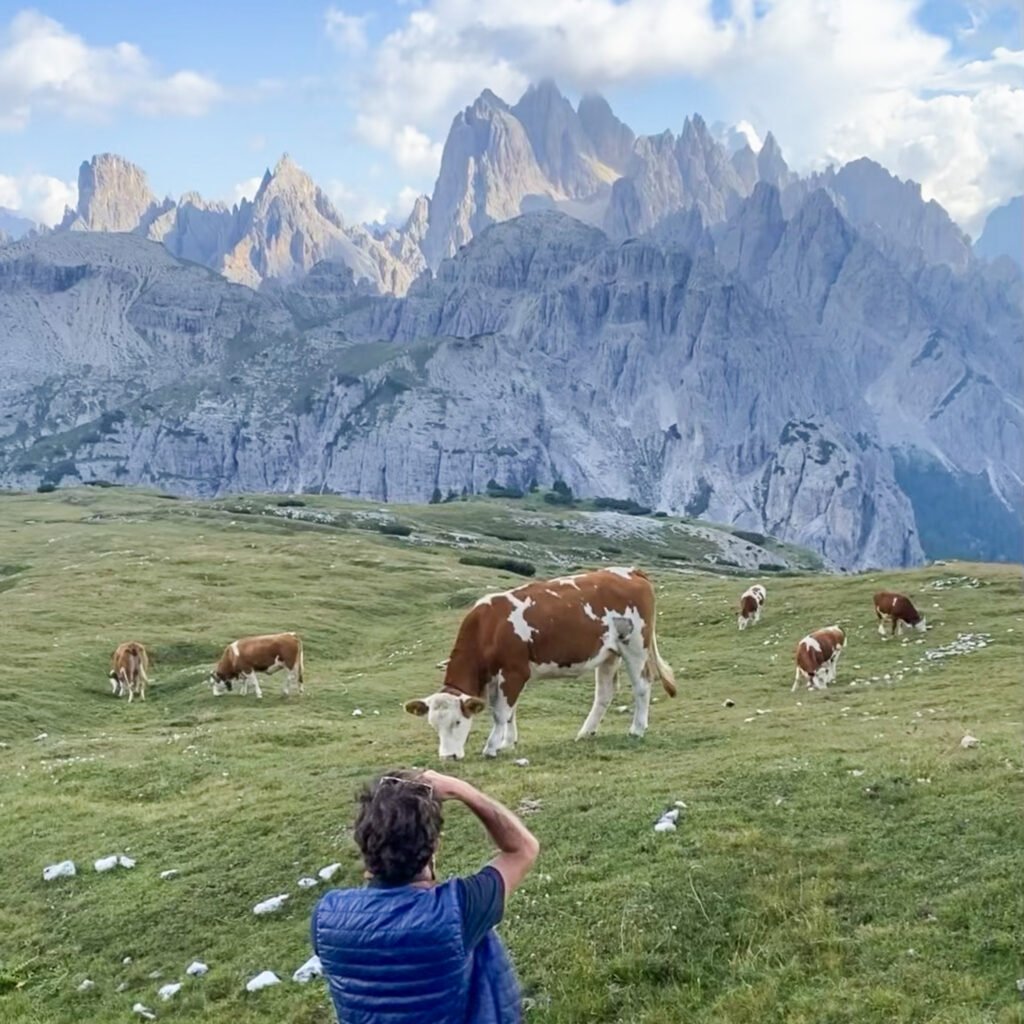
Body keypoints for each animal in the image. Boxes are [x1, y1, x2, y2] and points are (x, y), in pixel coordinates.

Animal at [403, 569, 675, 761]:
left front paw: (492, 747)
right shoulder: (498, 678)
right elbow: (509, 712)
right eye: (433, 725)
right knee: (605, 693)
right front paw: (508, 743)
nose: (447, 757)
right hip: (608, 654)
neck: (488, 628)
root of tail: (630, 571)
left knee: (642, 685)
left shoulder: (514, 672)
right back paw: (585, 732)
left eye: (458, 722)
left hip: (635, 645)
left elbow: (501, 712)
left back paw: (637, 729)